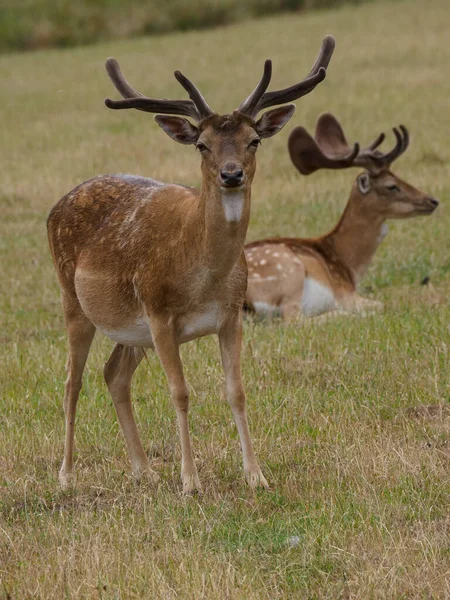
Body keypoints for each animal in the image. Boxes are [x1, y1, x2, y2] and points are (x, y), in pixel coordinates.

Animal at [47, 39, 336, 494]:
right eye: (202, 144)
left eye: (254, 140)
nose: (231, 174)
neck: (204, 280)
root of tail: (55, 207)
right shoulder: (159, 312)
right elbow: (180, 391)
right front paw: (190, 482)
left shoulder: (231, 315)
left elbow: (236, 390)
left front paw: (256, 476)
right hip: (73, 300)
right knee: (71, 381)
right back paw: (67, 475)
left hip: (131, 329)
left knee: (114, 374)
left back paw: (143, 469)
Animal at [244, 112, 438, 322]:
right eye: (391, 185)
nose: (432, 201)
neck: (348, 266)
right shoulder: (346, 294)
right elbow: (381, 304)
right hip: (289, 274)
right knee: (293, 319)